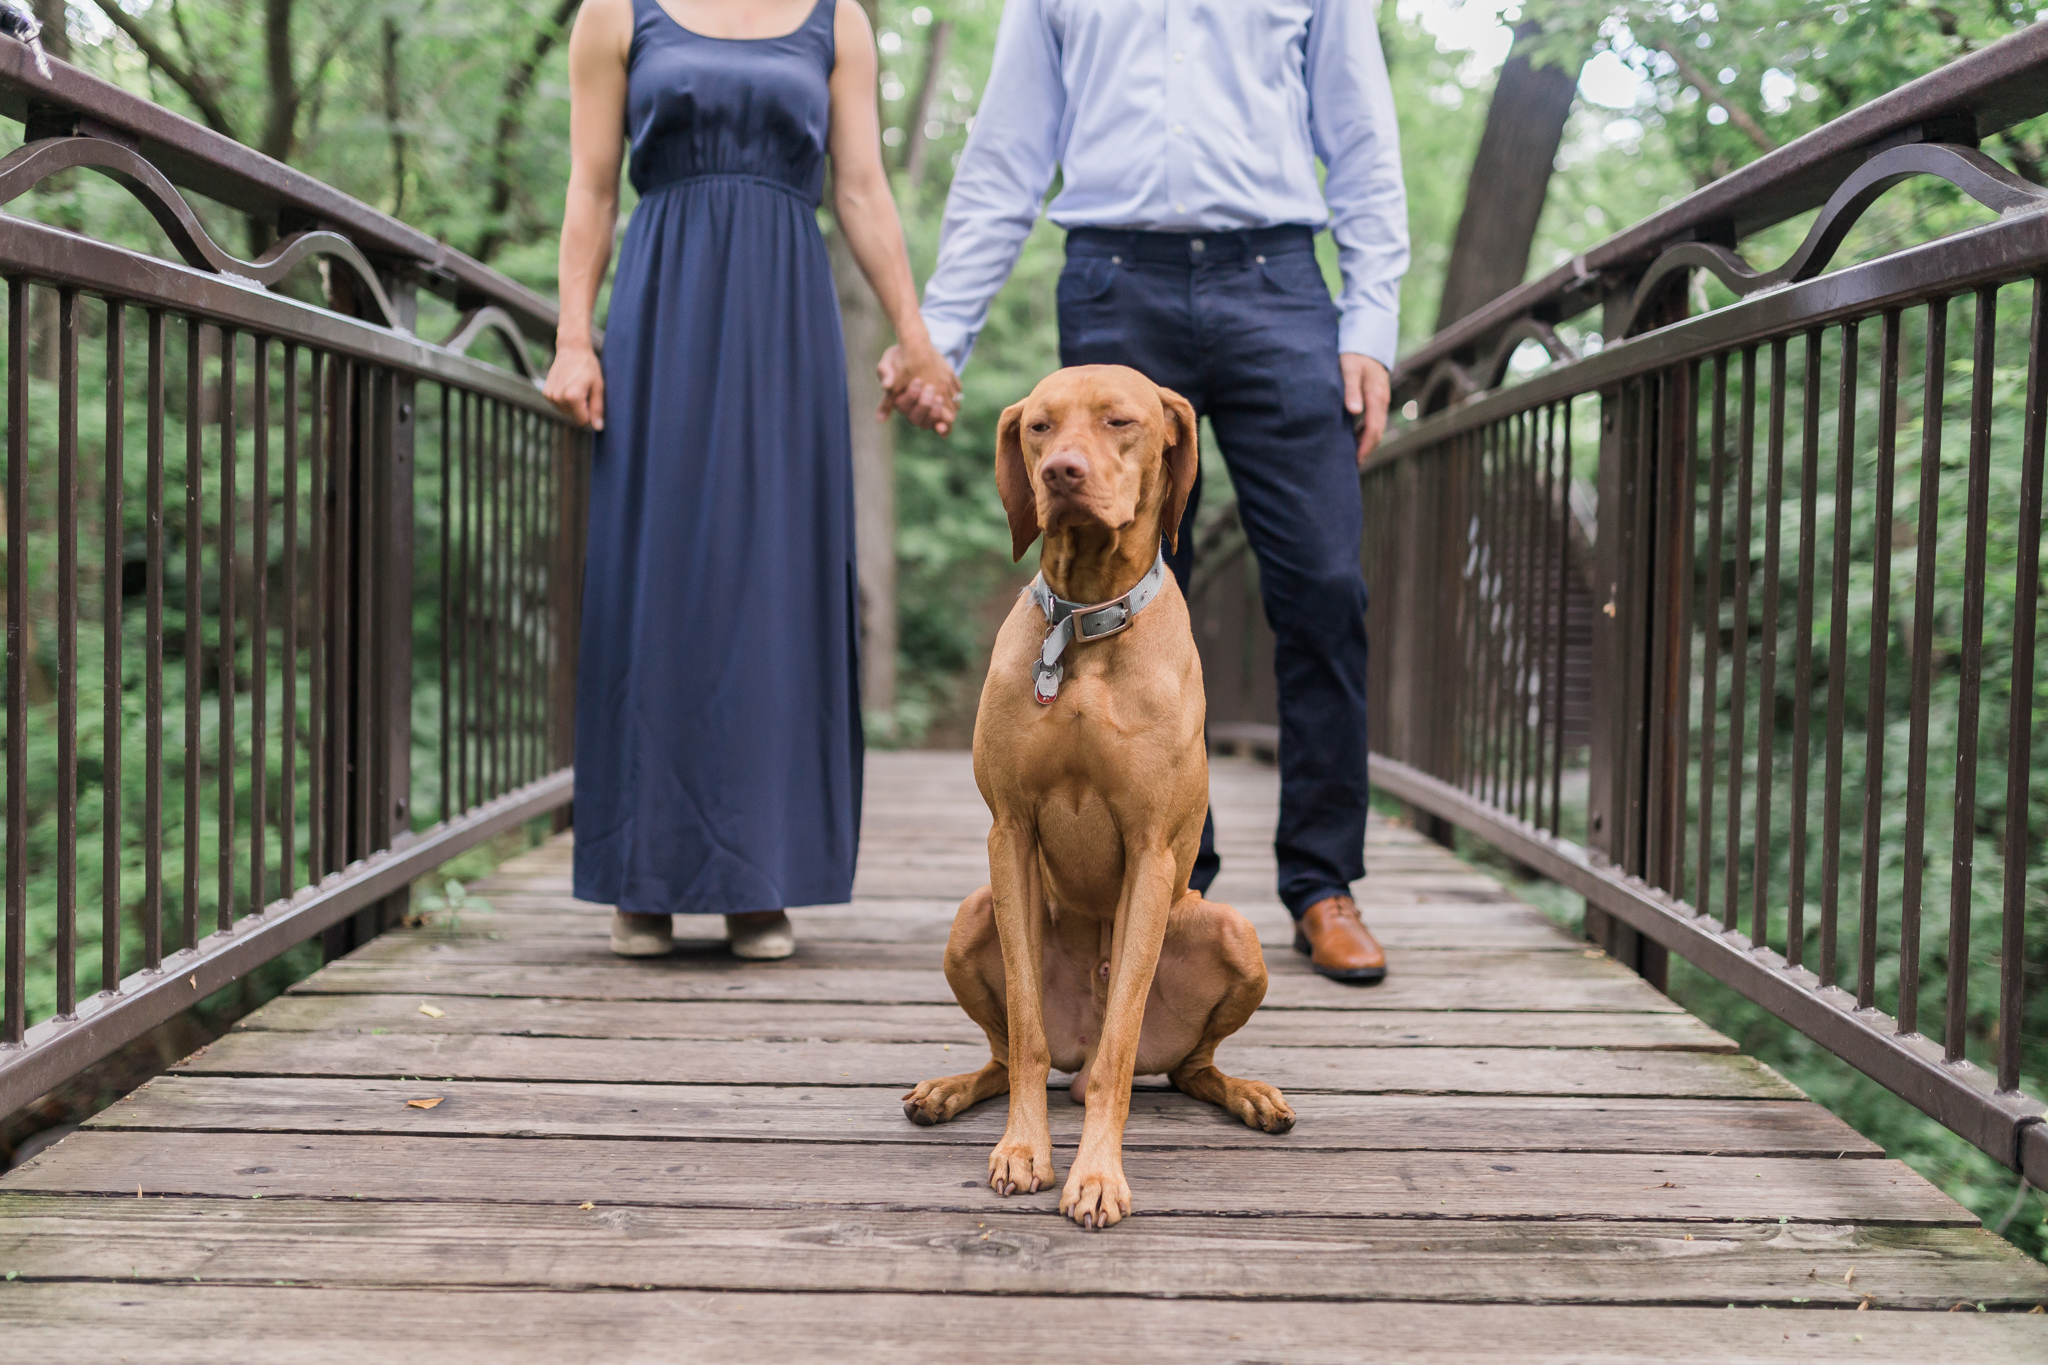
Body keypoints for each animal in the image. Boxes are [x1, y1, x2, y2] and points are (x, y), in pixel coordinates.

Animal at [901, 360, 1286, 1227]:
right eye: (1039, 427)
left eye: (1119, 421)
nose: (1060, 474)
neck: (1083, 622)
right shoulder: (1009, 833)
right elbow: (1025, 1032)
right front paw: (1023, 1149)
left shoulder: (1152, 850)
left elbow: (1118, 1048)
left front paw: (1098, 1174)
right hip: (970, 916)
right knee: (1010, 1053)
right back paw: (949, 1088)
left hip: (1233, 931)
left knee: (1181, 1067)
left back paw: (1247, 1092)